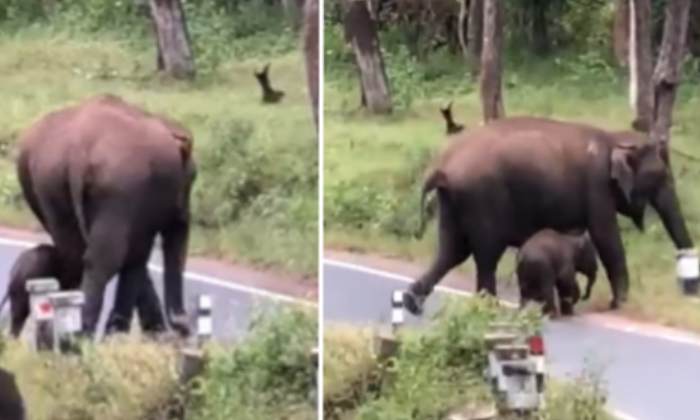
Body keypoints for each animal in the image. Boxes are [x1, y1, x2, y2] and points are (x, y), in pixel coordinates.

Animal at [16, 93, 197, 336]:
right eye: (192, 179)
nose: (183, 329)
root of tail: (79, 149)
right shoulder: (140, 197)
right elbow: (137, 252)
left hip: (48, 180)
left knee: (73, 253)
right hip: (119, 185)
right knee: (104, 259)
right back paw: (82, 332)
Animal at [404, 115, 696, 316]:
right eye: (660, 177)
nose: (689, 287)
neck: (614, 138)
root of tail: (441, 168)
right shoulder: (597, 187)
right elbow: (606, 238)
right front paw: (619, 305)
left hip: (453, 202)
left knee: (451, 252)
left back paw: (412, 303)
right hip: (481, 199)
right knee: (485, 255)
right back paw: (489, 307)